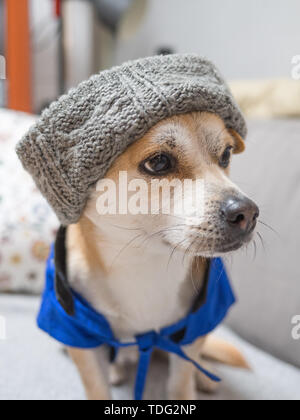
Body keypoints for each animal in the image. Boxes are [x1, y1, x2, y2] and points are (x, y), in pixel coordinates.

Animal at [65, 110, 258, 398]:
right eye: (158, 162)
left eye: (225, 155)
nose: (248, 213)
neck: (144, 261)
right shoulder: (76, 331)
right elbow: (96, 385)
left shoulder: (193, 326)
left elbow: (180, 382)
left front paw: (189, 384)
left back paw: (203, 375)